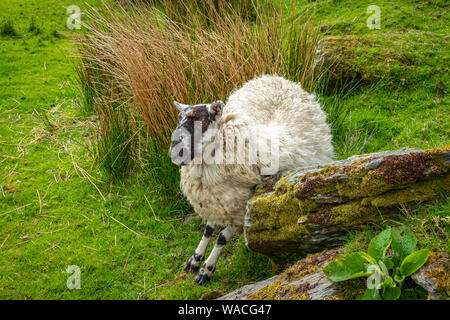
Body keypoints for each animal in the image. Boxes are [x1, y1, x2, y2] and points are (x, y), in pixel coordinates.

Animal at [169, 75, 334, 284]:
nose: (174, 153)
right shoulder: (216, 199)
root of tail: (278, 78)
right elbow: (208, 230)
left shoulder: (241, 210)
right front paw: (194, 260)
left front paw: (206, 269)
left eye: (200, 122)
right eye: (179, 120)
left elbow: (221, 237)